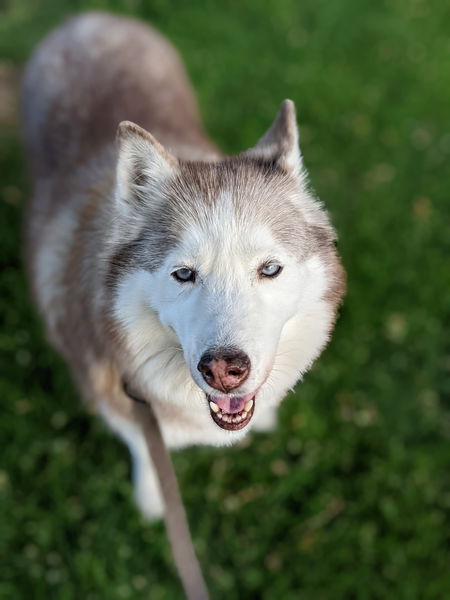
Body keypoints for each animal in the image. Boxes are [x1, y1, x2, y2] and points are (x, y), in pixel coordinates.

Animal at [22, 12, 344, 520]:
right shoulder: (121, 404)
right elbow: (143, 446)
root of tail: (91, 18)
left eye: (269, 269)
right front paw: (153, 497)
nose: (224, 370)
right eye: (184, 274)